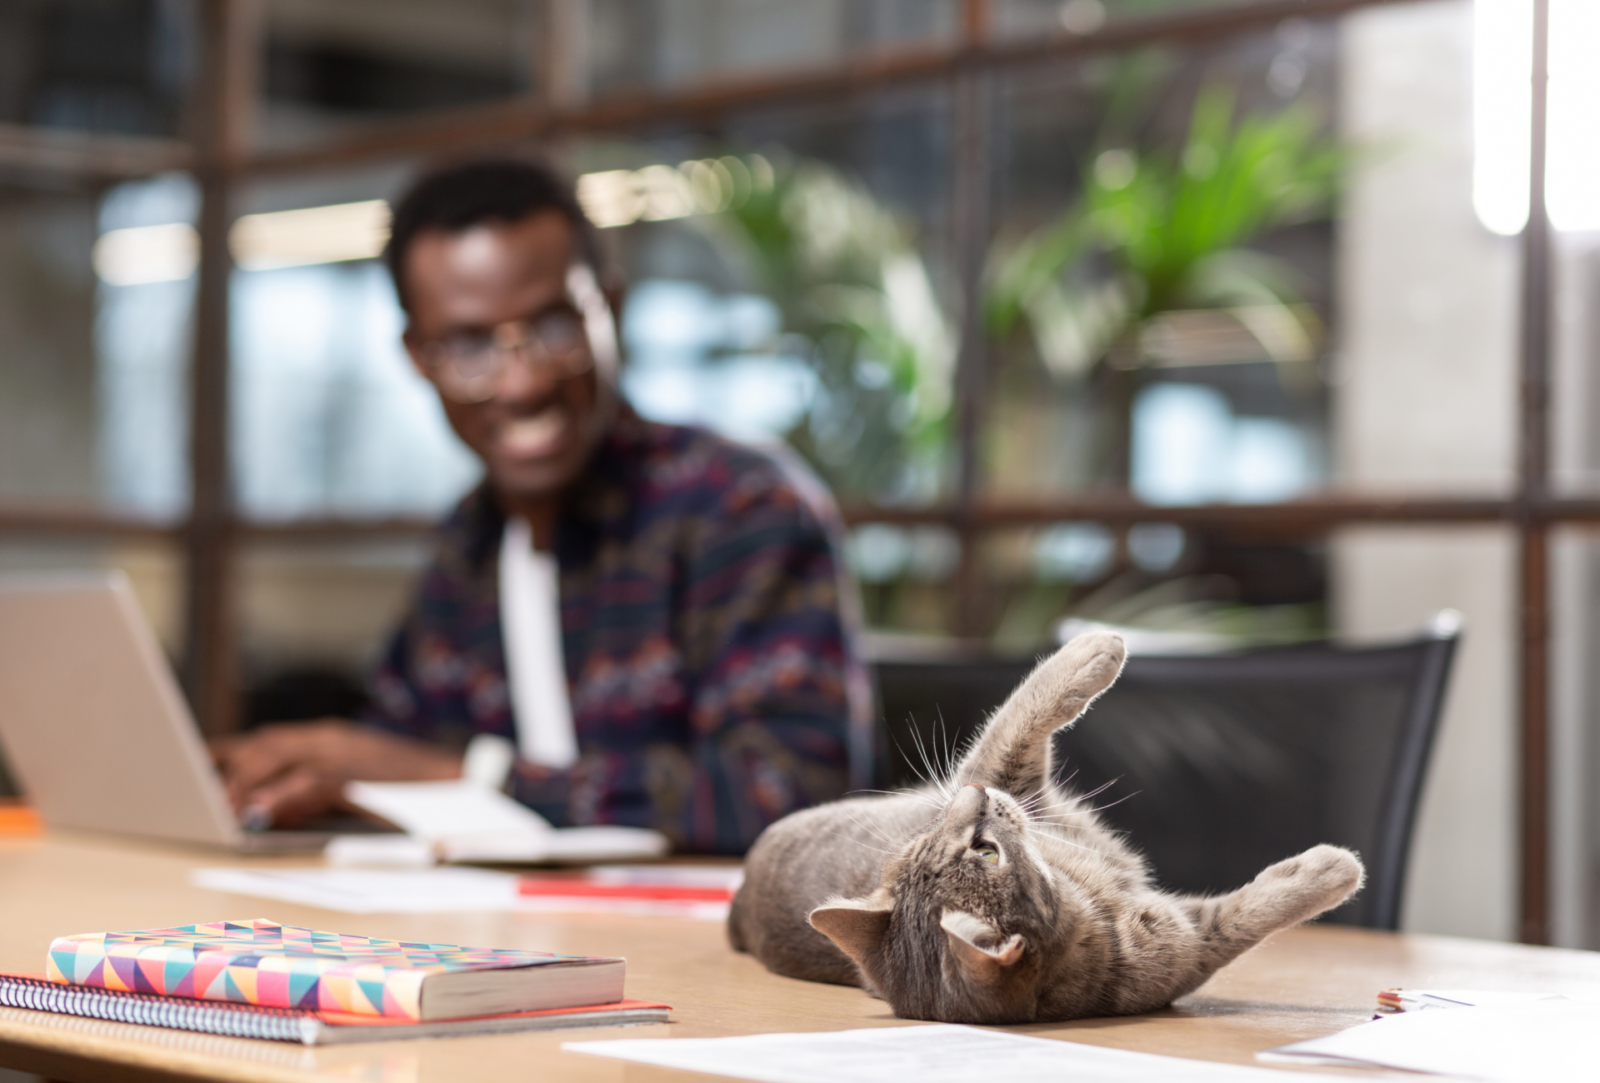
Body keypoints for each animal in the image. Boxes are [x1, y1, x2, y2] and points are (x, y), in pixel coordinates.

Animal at [726, 623, 1363, 1023]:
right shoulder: (1190, 942)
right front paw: (1330, 871)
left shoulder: (1003, 777)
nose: (968, 798)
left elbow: (1025, 708)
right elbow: (1252, 914)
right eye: (986, 852)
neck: (1086, 890)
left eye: (921, 845)